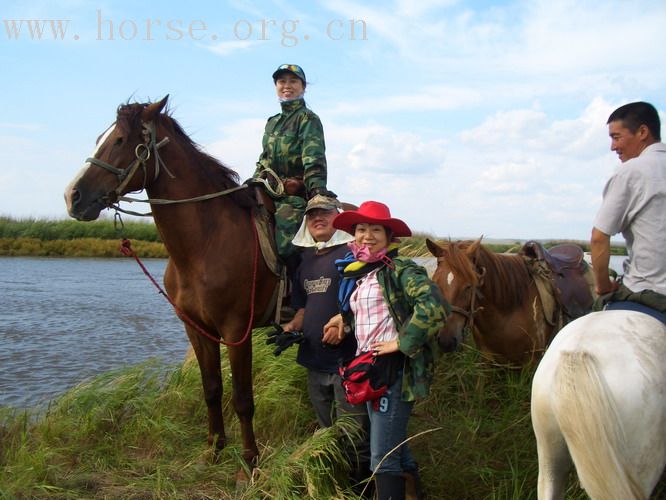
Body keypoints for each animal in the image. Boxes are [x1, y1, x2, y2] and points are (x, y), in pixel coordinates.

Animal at [63, 96, 276, 464]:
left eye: (119, 140)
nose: (72, 196)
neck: (205, 244)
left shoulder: (237, 330)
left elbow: (242, 399)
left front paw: (249, 460)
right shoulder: (195, 328)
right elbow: (211, 389)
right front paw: (214, 448)